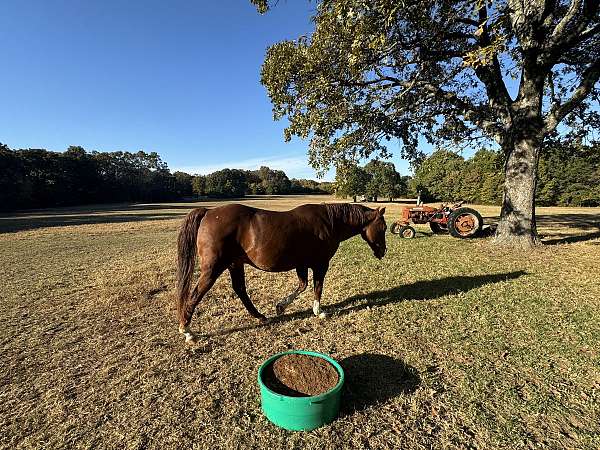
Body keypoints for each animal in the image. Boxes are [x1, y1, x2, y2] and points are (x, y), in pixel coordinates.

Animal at [176, 202, 386, 342]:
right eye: (383, 227)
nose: (383, 251)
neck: (330, 222)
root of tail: (208, 212)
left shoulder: (302, 264)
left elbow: (302, 285)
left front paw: (281, 307)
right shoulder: (320, 264)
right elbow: (317, 287)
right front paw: (318, 312)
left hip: (235, 264)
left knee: (240, 289)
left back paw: (260, 316)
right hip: (213, 268)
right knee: (196, 294)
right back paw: (187, 330)